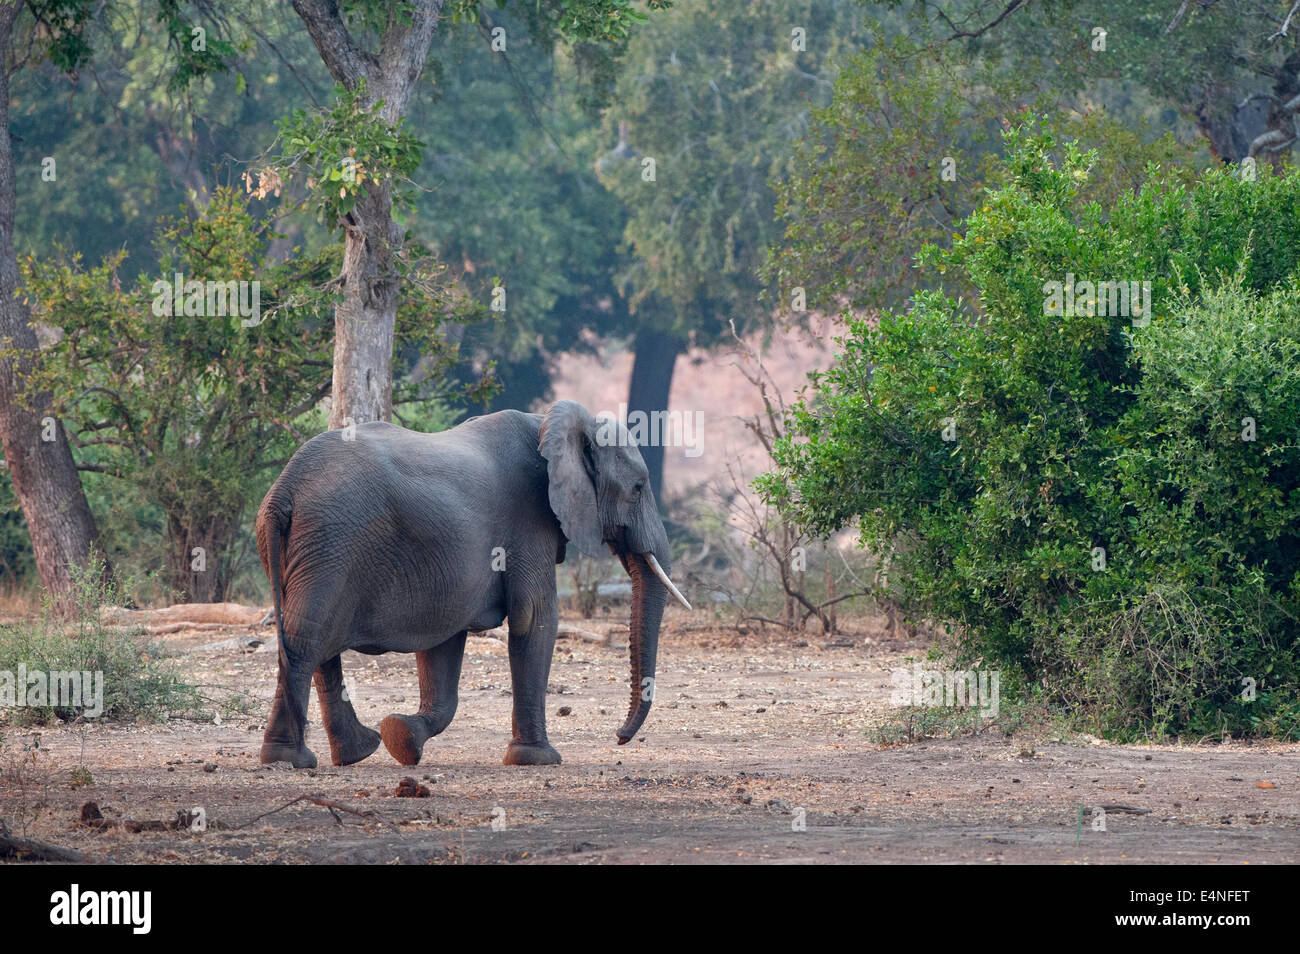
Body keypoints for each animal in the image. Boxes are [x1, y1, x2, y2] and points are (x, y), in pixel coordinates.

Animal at [252, 402, 691, 769]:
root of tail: (283, 491)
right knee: (307, 638)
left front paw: (402, 738)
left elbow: (443, 639)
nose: (619, 737)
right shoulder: (530, 520)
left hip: (310, 550)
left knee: (315, 642)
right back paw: (292, 759)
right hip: (332, 541)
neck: (549, 423)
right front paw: (538, 760)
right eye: (638, 487)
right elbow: (535, 618)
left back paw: (351, 752)